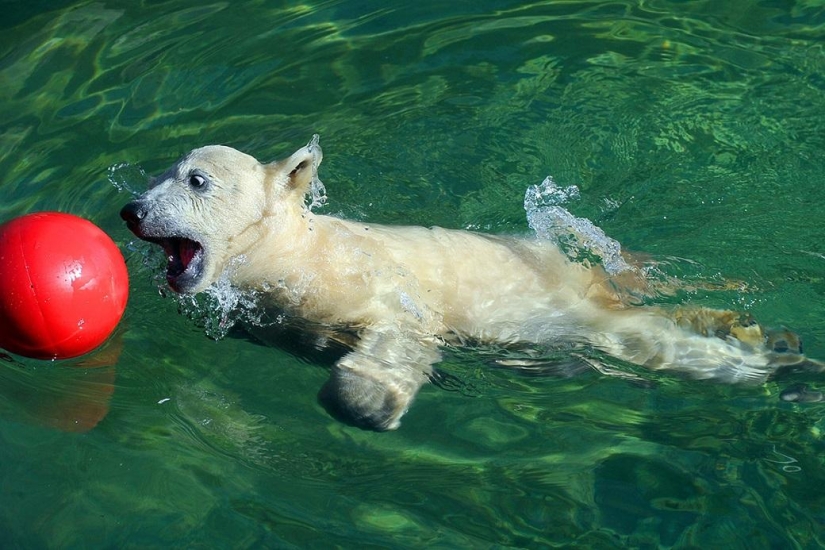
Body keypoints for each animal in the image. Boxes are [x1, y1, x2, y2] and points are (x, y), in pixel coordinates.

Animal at [120, 136, 816, 434]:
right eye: (158, 175)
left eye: (197, 180)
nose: (132, 210)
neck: (305, 256)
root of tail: (592, 269)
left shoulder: (375, 284)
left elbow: (398, 338)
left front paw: (369, 405)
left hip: (568, 303)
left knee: (660, 343)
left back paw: (786, 366)